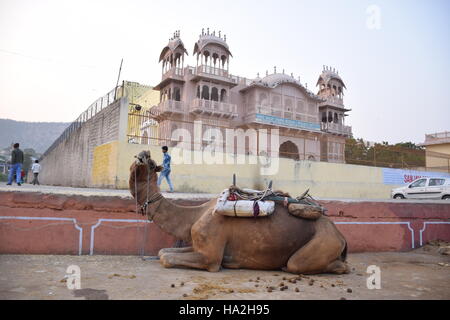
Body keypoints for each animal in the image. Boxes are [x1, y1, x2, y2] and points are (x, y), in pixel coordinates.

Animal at [128, 151, 350, 276]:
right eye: (139, 158)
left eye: (150, 163)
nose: (142, 153)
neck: (193, 216)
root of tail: (341, 236)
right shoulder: (197, 245)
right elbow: (162, 251)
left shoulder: (210, 256)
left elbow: (167, 258)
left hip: (322, 243)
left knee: (298, 264)